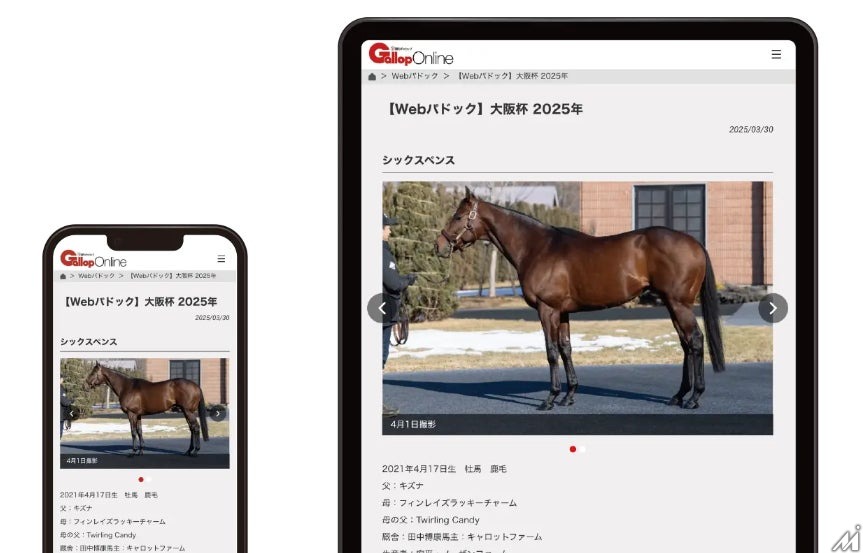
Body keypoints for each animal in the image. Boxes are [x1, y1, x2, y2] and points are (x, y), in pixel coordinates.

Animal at [434, 188, 725, 411]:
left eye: (458, 216)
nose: (438, 246)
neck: (538, 248)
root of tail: (695, 244)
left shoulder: (547, 310)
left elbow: (551, 351)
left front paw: (550, 399)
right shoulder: (562, 312)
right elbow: (566, 349)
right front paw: (569, 395)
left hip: (679, 304)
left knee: (695, 341)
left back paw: (694, 397)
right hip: (671, 304)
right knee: (685, 344)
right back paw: (679, 396)